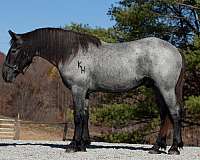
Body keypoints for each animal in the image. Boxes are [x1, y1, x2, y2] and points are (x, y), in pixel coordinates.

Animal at [2, 28, 185, 155]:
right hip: (157, 89)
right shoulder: (86, 92)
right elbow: (85, 116)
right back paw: (157, 147)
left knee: (174, 113)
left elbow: (77, 117)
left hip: (165, 89)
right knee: (165, 115)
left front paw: (73, 146)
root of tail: (176, 50)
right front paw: (82, 145)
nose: (5, 75)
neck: (71, 52)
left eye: (14, 50)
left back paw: (174, 148)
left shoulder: (77, 90)